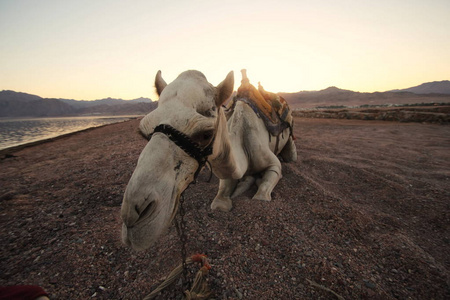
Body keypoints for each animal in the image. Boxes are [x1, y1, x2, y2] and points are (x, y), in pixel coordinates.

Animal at [120, 69, 296, 251]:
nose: (132, 217)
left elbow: (262, 194)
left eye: (206, 134)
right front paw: (240, 186)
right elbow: (220, 200)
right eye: (143, 132)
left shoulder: (273, 164)